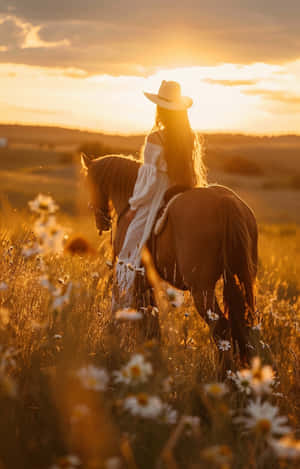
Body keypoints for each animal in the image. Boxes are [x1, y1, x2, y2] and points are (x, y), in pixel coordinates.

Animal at [81, 154, 258, 366]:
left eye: (90, 183)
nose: (101, 221)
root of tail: (225, 201)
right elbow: (151, 320)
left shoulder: (139, 279)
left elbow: (147, 319)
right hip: (242, 281)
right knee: (245, 328)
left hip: (202, 289)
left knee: (222, 327)